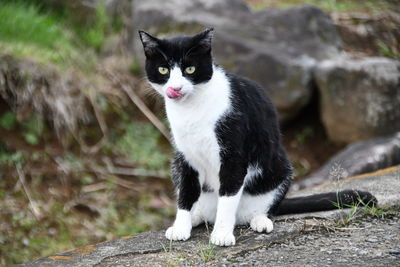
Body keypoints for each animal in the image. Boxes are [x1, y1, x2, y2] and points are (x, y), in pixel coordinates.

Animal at [139, 27, 376, 247]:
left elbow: (228, 197)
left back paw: (259, 221)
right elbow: (186, 192)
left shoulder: (234, 153)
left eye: (190, 69)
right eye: (163, 69)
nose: (176, 88)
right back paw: (196, 217)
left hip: (280, 167)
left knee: (263, 207)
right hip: (178, 167)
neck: (192, 110)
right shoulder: (186, 155)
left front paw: (222, 234)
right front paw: (181, 227)